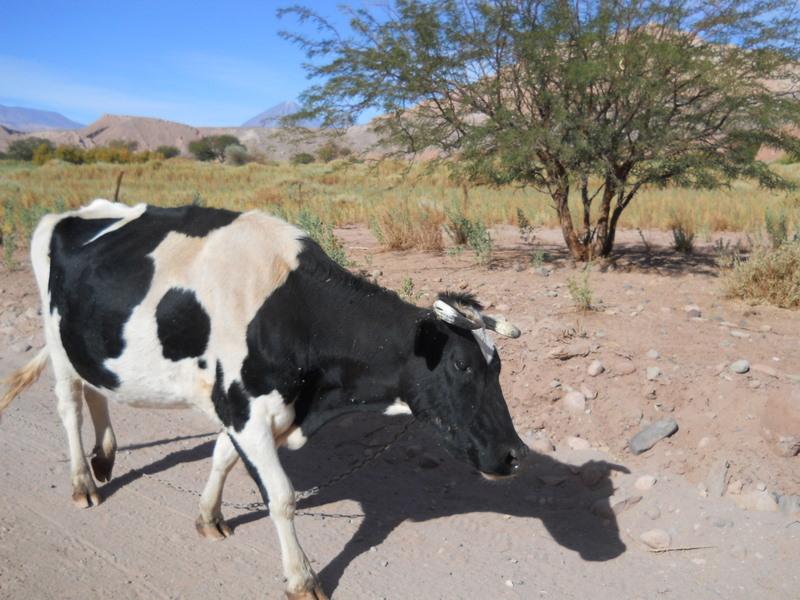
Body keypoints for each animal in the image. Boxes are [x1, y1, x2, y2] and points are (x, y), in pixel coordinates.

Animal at [1, 199, 524, 596]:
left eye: (498, 366)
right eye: (461, 365)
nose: (515, 454)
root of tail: (73, 213)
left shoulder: (242, 408)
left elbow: (220, 458)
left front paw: (209, 516)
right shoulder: (243, 407)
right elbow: (282, 496)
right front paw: (302, 578)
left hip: (90, 344)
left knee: (98, 391)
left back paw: (106, 457)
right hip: (58, 341)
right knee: (69, 407)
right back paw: (83, 482)